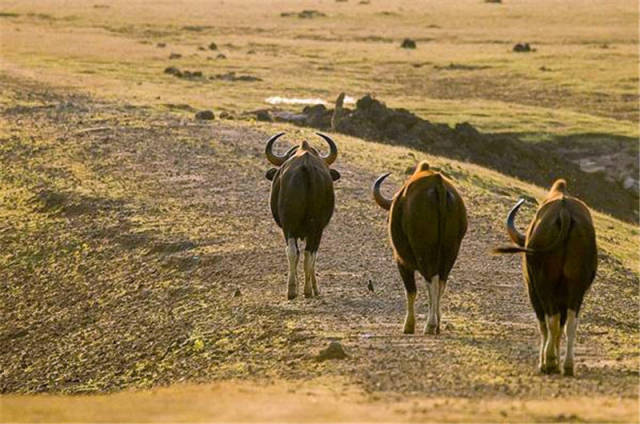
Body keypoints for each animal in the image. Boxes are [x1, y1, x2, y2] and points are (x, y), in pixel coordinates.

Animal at [262, 131, 340, 300]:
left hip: (291, 224)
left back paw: (296, 290)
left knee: (294, 252)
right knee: (306, 254)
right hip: (314, 227)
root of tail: (306, 166)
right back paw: (303, 289)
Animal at [372, 162, 468, 334]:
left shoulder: (401, 261)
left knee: (431, 280)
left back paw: (430, 325)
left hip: (425, 251)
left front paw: (408, 326)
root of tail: (438, 185)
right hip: (451, 250)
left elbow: (411, 291)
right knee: (441, 282)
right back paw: (437, 324)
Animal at [496, 179, 600, 374]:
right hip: (576, 288)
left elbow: (543, 324)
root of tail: (565, 213)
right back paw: (568, 365)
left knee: (551, 320)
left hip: (544, 285)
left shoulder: (532, 289)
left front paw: (546, 360)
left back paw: (549, 362)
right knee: (570, 323)